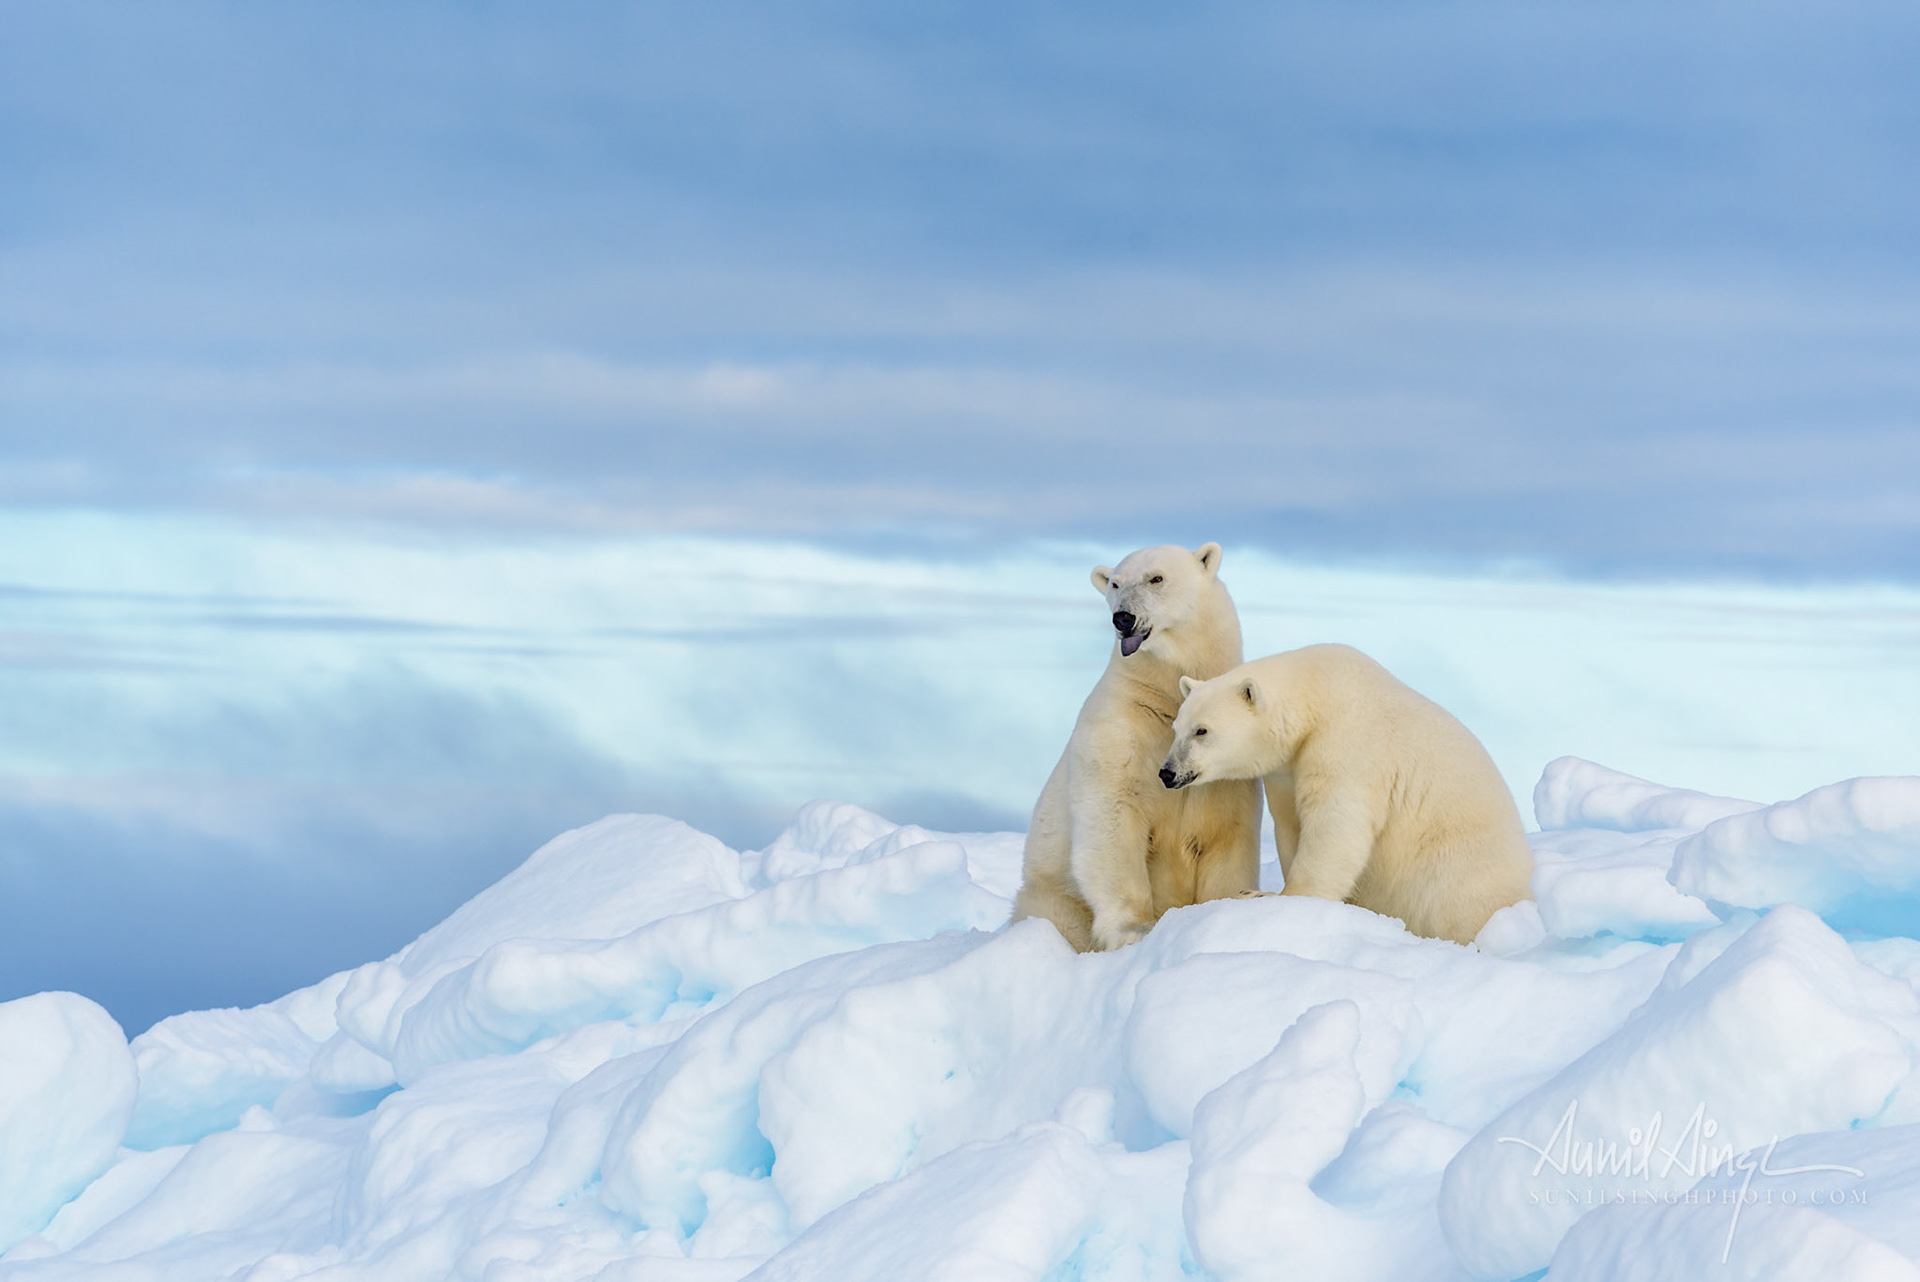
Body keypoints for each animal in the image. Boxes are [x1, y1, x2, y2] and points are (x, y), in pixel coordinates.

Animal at [1010, 542, 1264, 951]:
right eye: (1114, 583)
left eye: (1156, 578)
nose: (1123, 618)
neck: (1164, 698)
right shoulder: (1118, 731)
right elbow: (1113, 817)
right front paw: (1136, 929)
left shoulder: (1228, 764)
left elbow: (1227, 831)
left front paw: (1239, 899)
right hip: (1052, 895)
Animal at [1159, 643, 1533, 944]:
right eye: (1177, 727)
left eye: (1202, 730)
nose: (1167, 772)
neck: (1316, 696)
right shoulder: (1287, 769)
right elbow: (1291, 823)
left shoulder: (1348, 745)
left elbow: (1335, 825)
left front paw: (1275, 896)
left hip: (1458, 868)